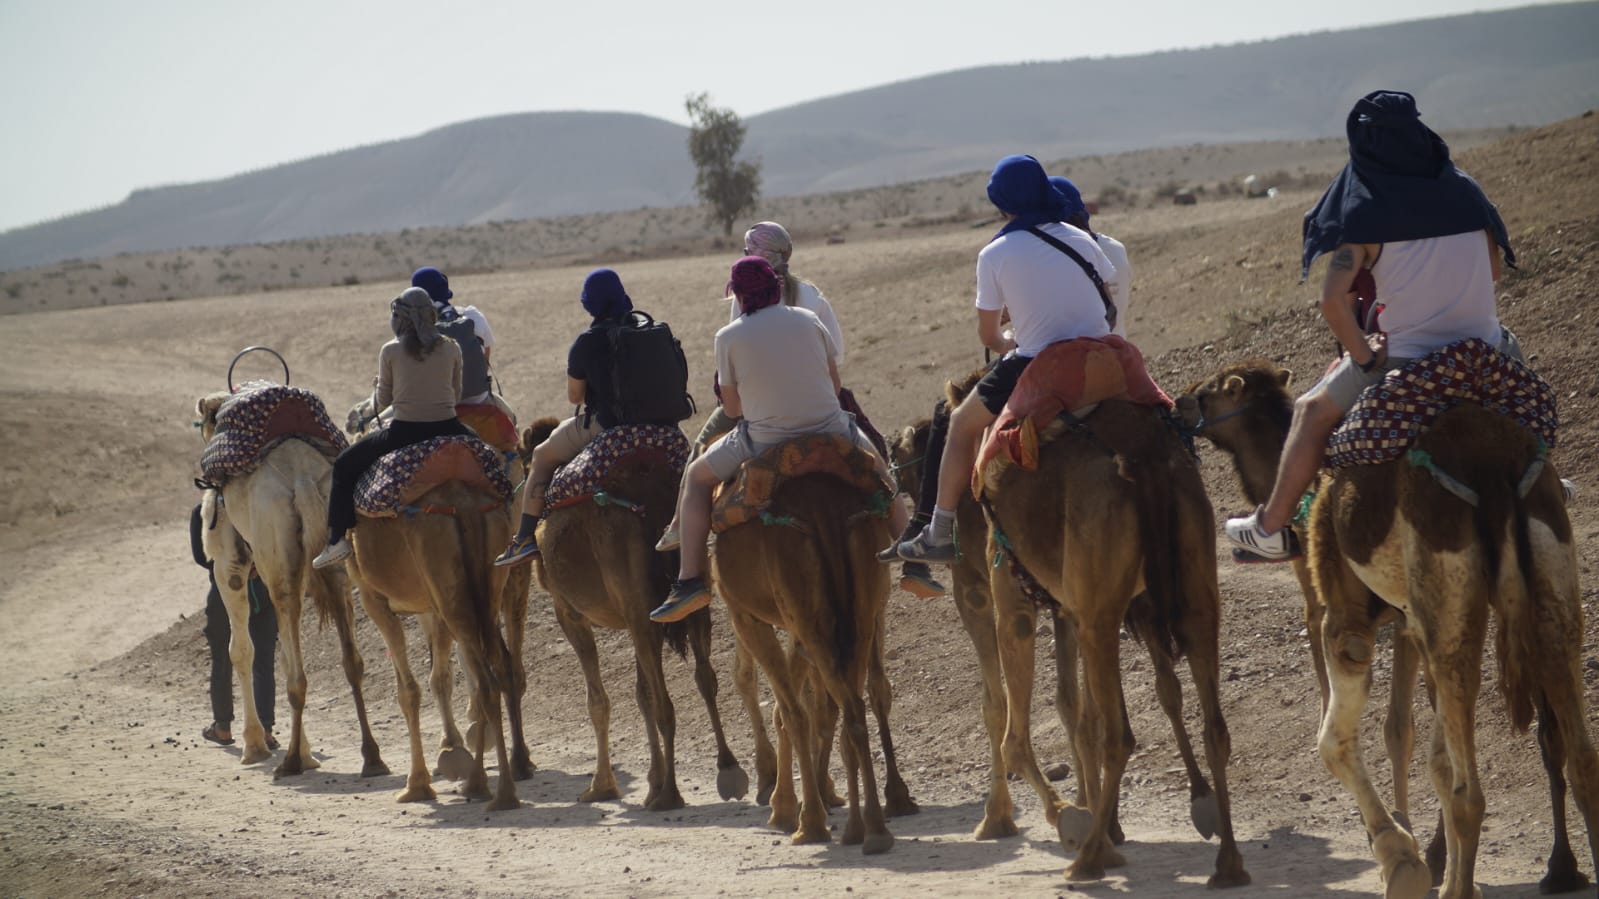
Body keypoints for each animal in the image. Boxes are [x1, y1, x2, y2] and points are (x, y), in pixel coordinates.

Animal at [196, 391, 388, 779]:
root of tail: (303, 478)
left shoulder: (229, 563)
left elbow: (242, 650)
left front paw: (254, 746)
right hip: (337, 554)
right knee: (350, 659)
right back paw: (371, 758)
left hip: (276, 553)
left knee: (293, 669)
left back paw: (291, 762)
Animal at [520, 418, 748, 810]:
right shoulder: (633, 615)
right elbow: (641, 693)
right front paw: (651, 779)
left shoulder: (568, 610)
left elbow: (598, 700)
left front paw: (602, 786)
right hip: (686, 599)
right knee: (704, 677)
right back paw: (728, 770)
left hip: (635, 601)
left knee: (665, 702)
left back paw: (670, 794)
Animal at [712, 462, 896, 855]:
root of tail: (825, 511)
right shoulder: (797, 627)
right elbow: (811, 710)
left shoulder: (746, 615)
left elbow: (790, 712)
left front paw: (792, 812)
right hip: (858, 609)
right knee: (854, 708)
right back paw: (870, 829)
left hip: (810, 615)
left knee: (824, 707)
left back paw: (822, 821)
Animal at [977, 395, 1248, 886]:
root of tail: (1143, 454)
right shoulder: (1078, 608)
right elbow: (1079, 710)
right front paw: (1095, 825)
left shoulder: (1015, 599)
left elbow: (1017, 740)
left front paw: (1070, 818)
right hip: (1195, 591)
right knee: (1214, 726)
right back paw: (1228, 864)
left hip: (1097, 610)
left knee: (1119, 736)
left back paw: (1086, 861)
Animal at [1181, 359, 1599, 899]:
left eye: (1210, 392)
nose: (1177, 402)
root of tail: (1490, 464)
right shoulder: (1411, 625)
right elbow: (1421, 746)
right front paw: (1428, 858)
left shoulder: (1347, 622)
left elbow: (1341, 739)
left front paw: (1400, 854)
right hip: (1546, 584)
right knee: (1579, 754)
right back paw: (1555, 868)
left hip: (1447, 594)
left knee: (1471, 791)